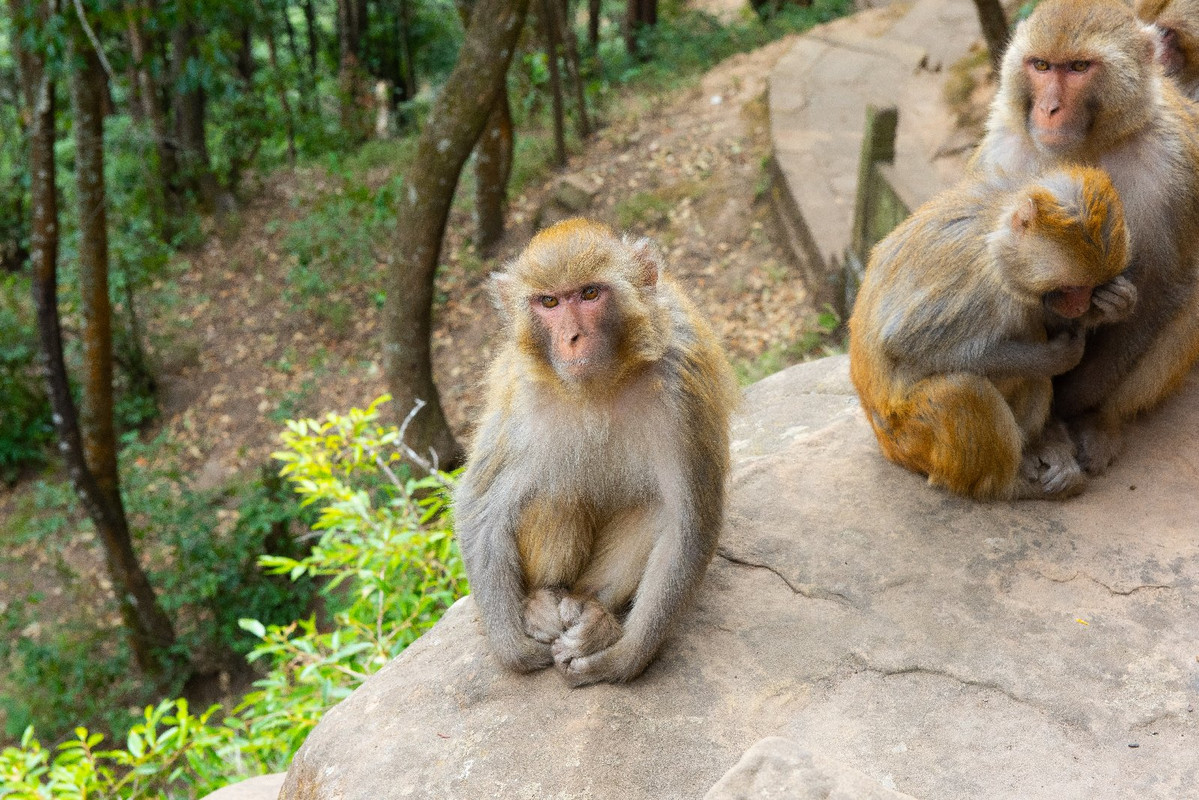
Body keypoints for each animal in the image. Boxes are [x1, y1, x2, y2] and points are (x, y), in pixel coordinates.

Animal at [450, 219, 738, 690]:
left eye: (589, 294)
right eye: (549, 301)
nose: (572, 338)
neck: (601, 385)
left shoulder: (683, 381)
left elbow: (688, 519)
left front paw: (622, 659)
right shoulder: (521, 394)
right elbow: (482, 500)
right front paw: (512, 645)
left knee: (655, 507)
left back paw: (594, 614)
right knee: (554, 491)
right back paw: (544, 599)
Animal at [848, 165, 1136, 496]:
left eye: (1092, 288)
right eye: (1071, 287)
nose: (1078, 306)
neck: (997, 242)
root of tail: (886, 445)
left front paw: (1118, 303)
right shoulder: (979, 279)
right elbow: (905, 342)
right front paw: (1056, 356)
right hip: (911, 438)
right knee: (963, 390)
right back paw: (1009, 486)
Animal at [968, 0, 1199, 474]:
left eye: (1078, 67)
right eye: (1040, 65)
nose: (1049, 109)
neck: (1087, 146)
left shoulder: (1171, 166)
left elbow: (1161, 290)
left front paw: (1077, 409)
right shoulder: (1003, 150)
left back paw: (1100, 420)